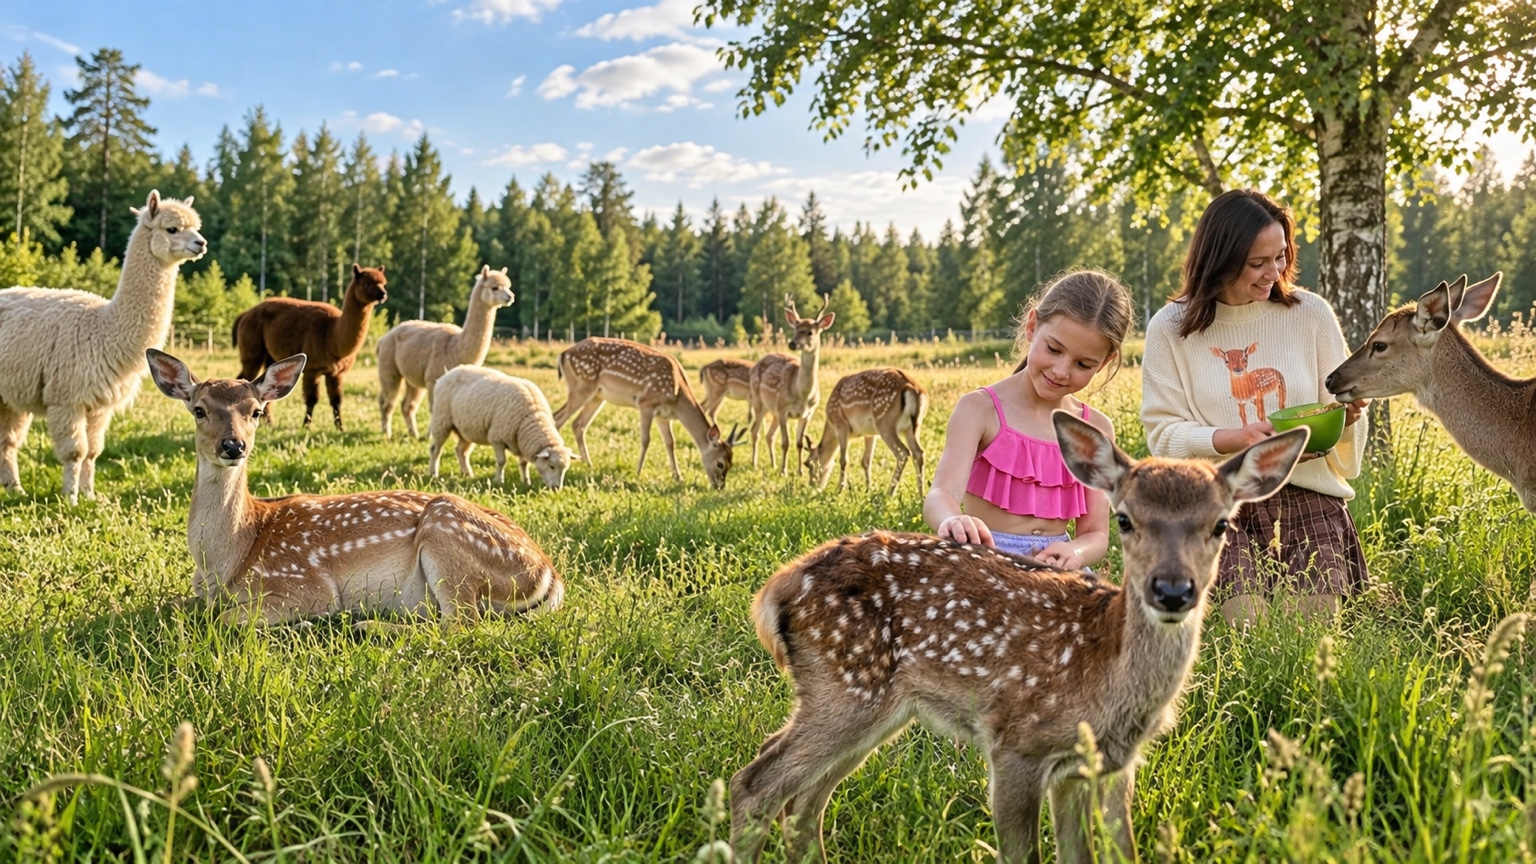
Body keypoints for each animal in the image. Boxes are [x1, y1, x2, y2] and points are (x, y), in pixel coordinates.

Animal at [145, 349, 563, 628]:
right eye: (199, 409)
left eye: (256, 411)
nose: (233, 446)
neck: (228, 560)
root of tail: (548, 575)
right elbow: (178, 607)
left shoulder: (308, 584)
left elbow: (226, 618)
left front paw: (303, 623)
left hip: (446, 535)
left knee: (460, 624)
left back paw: (366, 625)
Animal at [551, 337, 747, 490]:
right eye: (720, 463)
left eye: (731, 464)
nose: (720, 486)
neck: (677, 396)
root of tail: (563, 354)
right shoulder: (646, 403)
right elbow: (646, 440)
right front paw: (638, 472)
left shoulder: (663, 416)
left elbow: (670, 442)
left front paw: (678, 476)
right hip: (581, 387)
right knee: (557, 418)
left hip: (597, 396)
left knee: (578, 424)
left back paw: (588, 464)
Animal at [731, 411, 1310, 864]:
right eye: (1125, 519)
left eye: (1220, 524)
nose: (1172, 590)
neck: (1105, 686)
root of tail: (779, 588)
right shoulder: (1016, 743)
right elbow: (1024, 853)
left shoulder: (1101, 766)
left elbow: (1099, 852)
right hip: (847, 685)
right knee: (755, 787)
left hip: (877, 707)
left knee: (803, 799)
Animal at [749, 294, 835, 476]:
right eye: (795, 329)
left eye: (810, 332)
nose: (792, 344)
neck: (802, 394)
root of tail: (754, 367)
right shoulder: (783, 409)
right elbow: (785, 442)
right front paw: (784, 471)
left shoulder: (808, 413)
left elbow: (799, 443)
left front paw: (799, 471)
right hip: (759, 402)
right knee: (755, 431)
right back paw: (754, 463)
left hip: (773, 411)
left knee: (769, 435)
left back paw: (773, 464)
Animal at [801, 367, 928, 496]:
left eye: (808, 463)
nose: (812, 486)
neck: (831, 425)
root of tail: (914, 388)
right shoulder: (869, 433)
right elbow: (866, 461)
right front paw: (868, 489)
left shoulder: (841, 425)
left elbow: (843, 459)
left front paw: (840, 489)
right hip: (912, 427)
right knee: (918, 452)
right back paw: (920, 493)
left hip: (885, 423)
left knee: (903, 452)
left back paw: (890, 492)